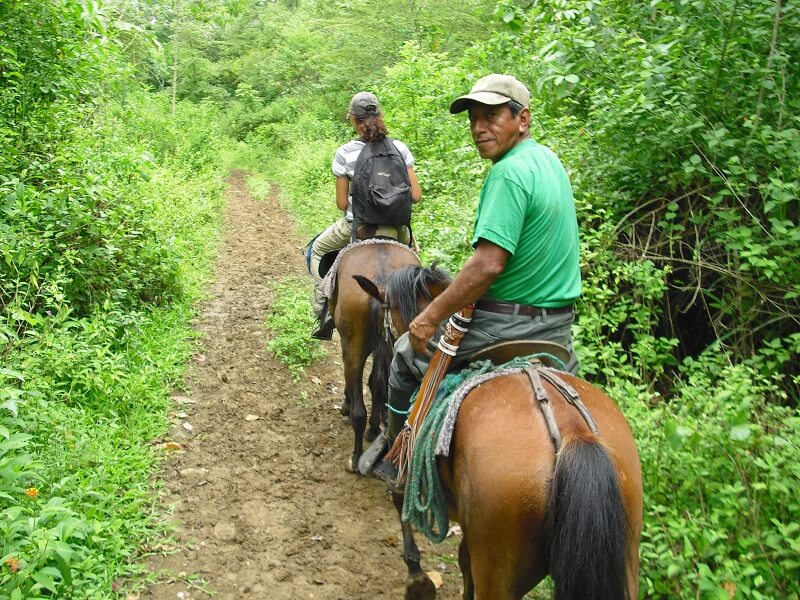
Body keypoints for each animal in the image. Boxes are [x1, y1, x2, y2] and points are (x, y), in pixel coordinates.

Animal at [326, 240, 422, 474]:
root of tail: (382, 280)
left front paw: (346, 403)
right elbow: (377, 383)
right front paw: (375, 427)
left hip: (354, 343)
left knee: (358, 409)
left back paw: (355, 458)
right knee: (381, 383)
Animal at [356, 264, 644, 600]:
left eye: (386, 310)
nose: (385, 345)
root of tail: (573, 433)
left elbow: (400, 501)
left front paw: (417, 580)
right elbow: (464, 560)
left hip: (498, 563)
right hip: (624, 557)